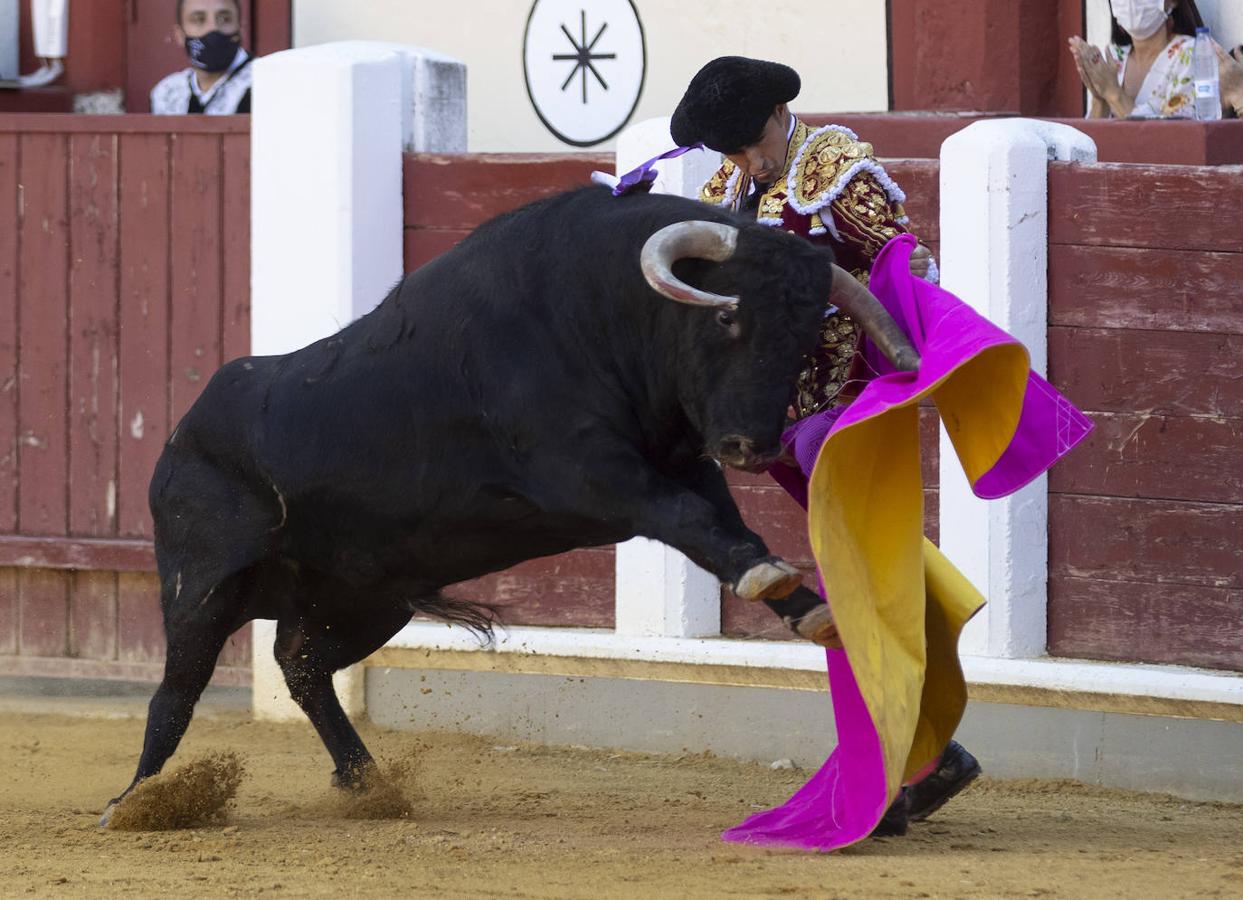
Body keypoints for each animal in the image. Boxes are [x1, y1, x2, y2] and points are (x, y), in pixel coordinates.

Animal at [101, 183, 919, 815]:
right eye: (725, 315)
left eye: (804, 331)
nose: (752, 445)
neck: (599, 309)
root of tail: (182, 431)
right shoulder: (592, 472)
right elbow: (694, 523)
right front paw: (774, 583)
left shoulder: (679, 465)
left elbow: (726, 530)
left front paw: (807, 606)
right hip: (202, 583)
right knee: (177, 688)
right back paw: (135, 803)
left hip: (366, 596)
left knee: (300, 663)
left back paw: (365, 785)